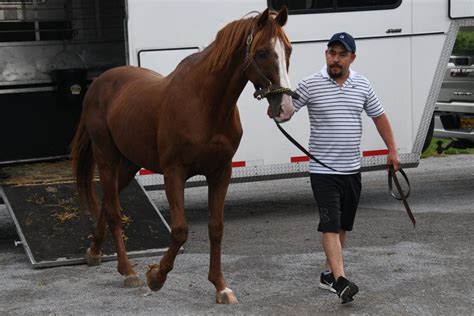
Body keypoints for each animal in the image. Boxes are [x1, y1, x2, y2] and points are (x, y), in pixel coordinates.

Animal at [69, 6, 296, 304]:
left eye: (288, 50)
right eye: (261, 53)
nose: (285, 107)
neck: (205, 106)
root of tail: (99, 83)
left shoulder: (220, 172)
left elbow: (216, 228)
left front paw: (220, 287)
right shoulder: (174, 173)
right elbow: (179, 230)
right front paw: (156, 277)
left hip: (129, 164)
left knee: (108, 203)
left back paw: (94, 253)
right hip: (106, 157)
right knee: (114, 211)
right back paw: (128, 271)